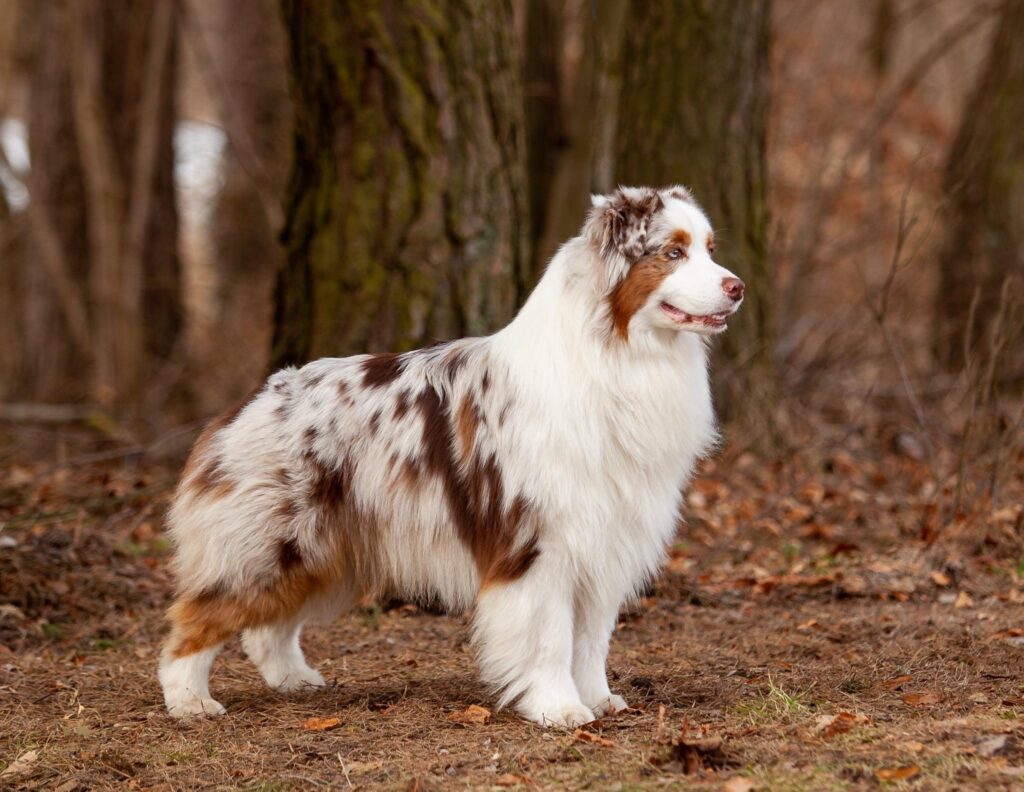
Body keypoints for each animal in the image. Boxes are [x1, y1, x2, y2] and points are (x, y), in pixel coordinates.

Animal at [163, 183, 749, 721]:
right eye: (672, 252)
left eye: (710, 248)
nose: (737, 287)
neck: (616, 356)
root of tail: (248, 402)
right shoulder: (538, 544)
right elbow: (551, 636)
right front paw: (558, 708)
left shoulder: (607, 540)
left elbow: (591, 639)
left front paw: (598, 699)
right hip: (268, 545)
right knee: (193, 621)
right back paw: (190, 700)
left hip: (325, 549)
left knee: (268, 629)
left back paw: (293, 679)